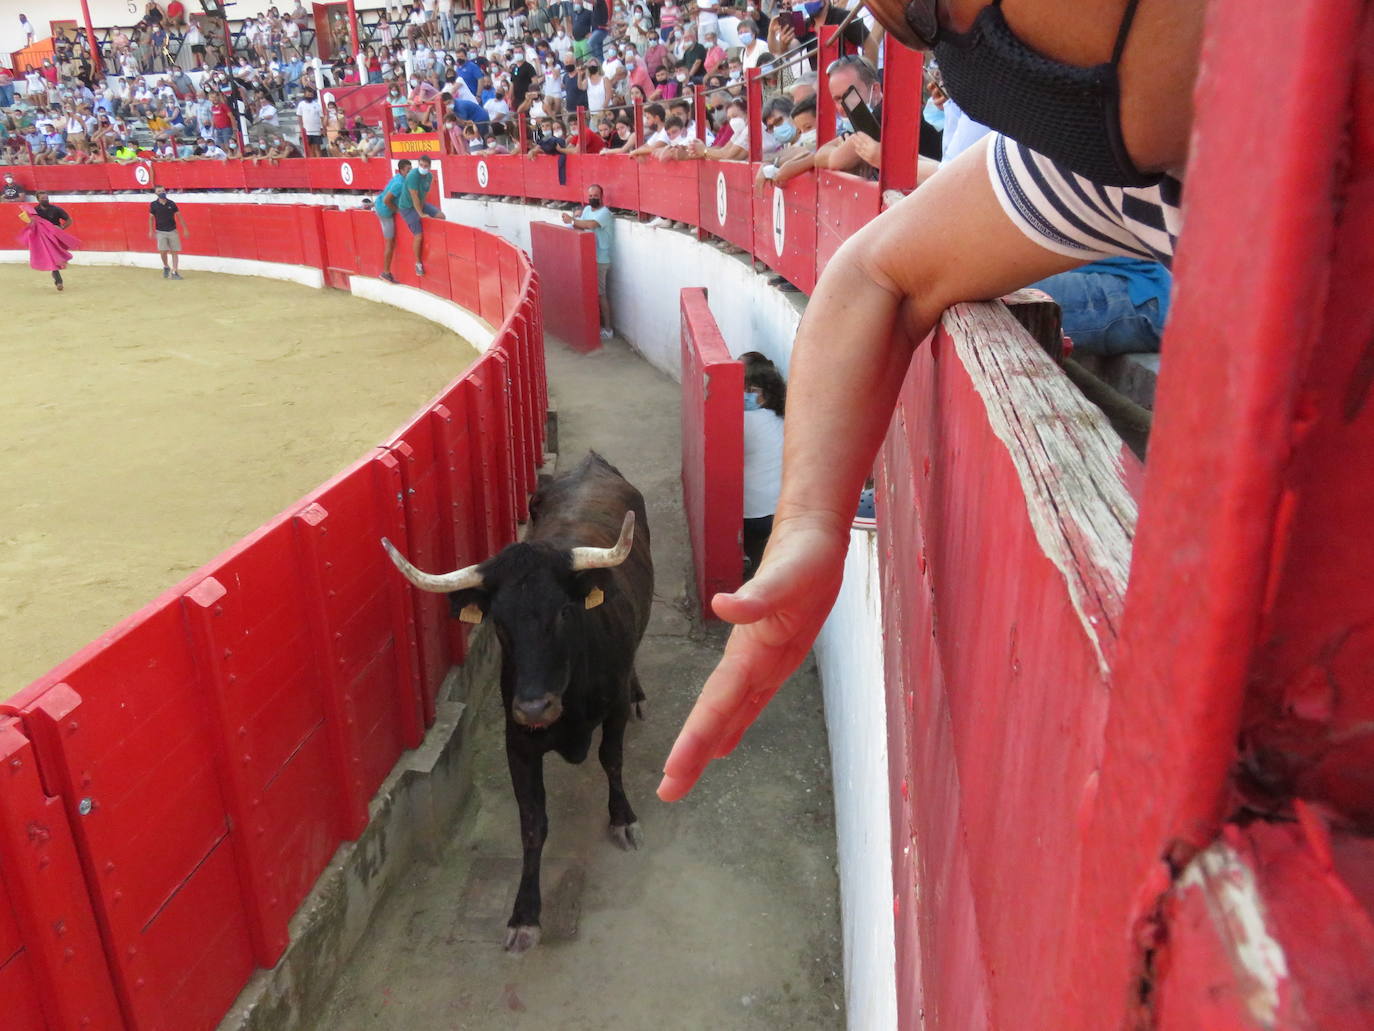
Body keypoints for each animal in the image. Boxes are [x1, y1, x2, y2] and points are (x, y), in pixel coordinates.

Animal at [379, 450, 651, 951]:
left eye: (563, 612)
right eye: (499, 621)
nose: (534, 708)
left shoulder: (614, 712)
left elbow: (612, 759)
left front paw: (623, 819)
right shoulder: (518, 744)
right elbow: (532, 824)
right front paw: (524, 914)